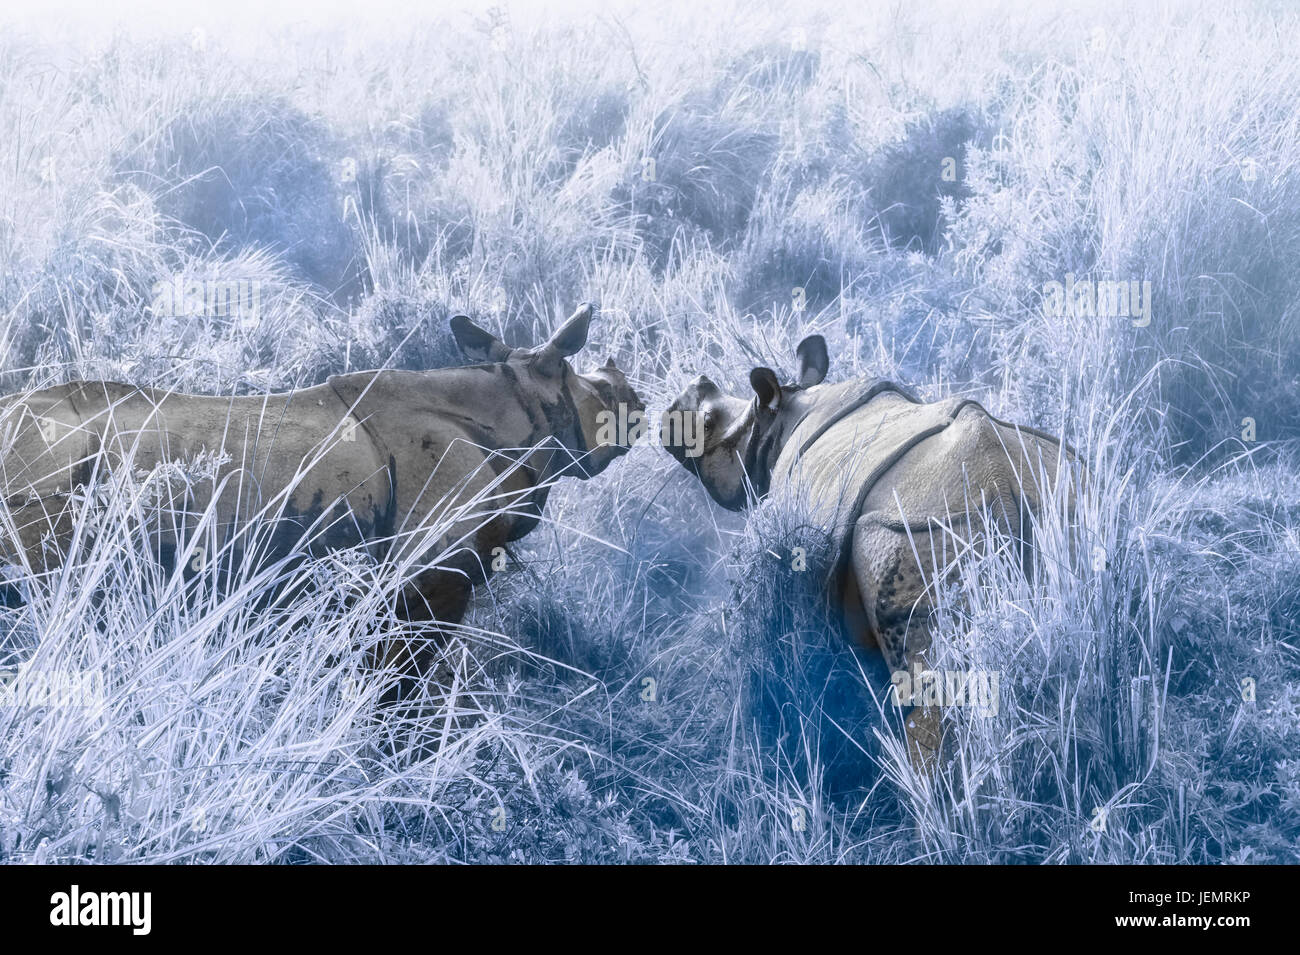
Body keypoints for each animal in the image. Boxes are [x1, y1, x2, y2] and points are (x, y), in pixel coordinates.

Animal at [0, 303, 642, 694]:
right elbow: (397, 693)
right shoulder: (428, 580)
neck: (515, 406)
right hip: (42, 462)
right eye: (602, 393)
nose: (640, 404)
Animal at [661, 335, 1077, 759]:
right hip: (1061, 496)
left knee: (928, 690)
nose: (669, 413)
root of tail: (999, 484)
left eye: (706, 424)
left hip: (921, 528)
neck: (778, 419)